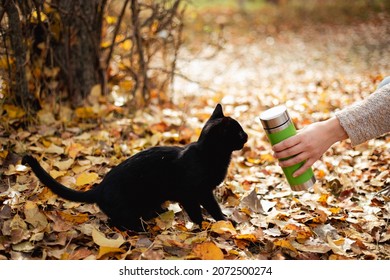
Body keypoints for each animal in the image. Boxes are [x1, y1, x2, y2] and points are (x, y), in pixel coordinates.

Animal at [22, 104, 247, 231]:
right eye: (238, 132)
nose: (246, 136)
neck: (210, 155)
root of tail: (100, 188)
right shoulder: (192, 193)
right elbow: (200, 211)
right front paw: (203, 228)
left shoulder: (204, 192)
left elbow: (212, 207)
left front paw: (224, 223)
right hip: (127, 209)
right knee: (118, 221)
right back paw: (141, 229)